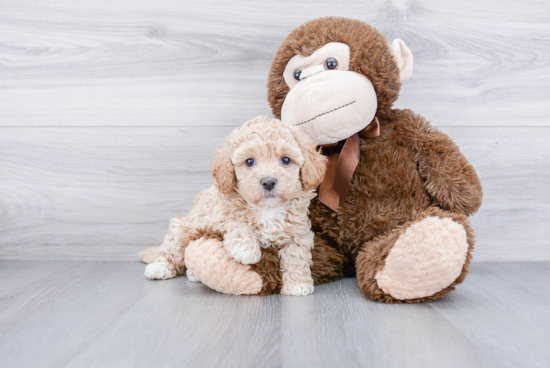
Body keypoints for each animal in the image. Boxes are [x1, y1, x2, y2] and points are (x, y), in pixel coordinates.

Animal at [141, 117, 328, 296]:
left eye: (286, 160)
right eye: (249, 161)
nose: (268, 182)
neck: (267, 210)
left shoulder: (299, 232)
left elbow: (297, 255)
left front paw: (298, 284)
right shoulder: (215, 217)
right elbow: (236, 222)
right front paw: (245, 249)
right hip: (182, 228)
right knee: (173, 251)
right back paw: (159, 267)